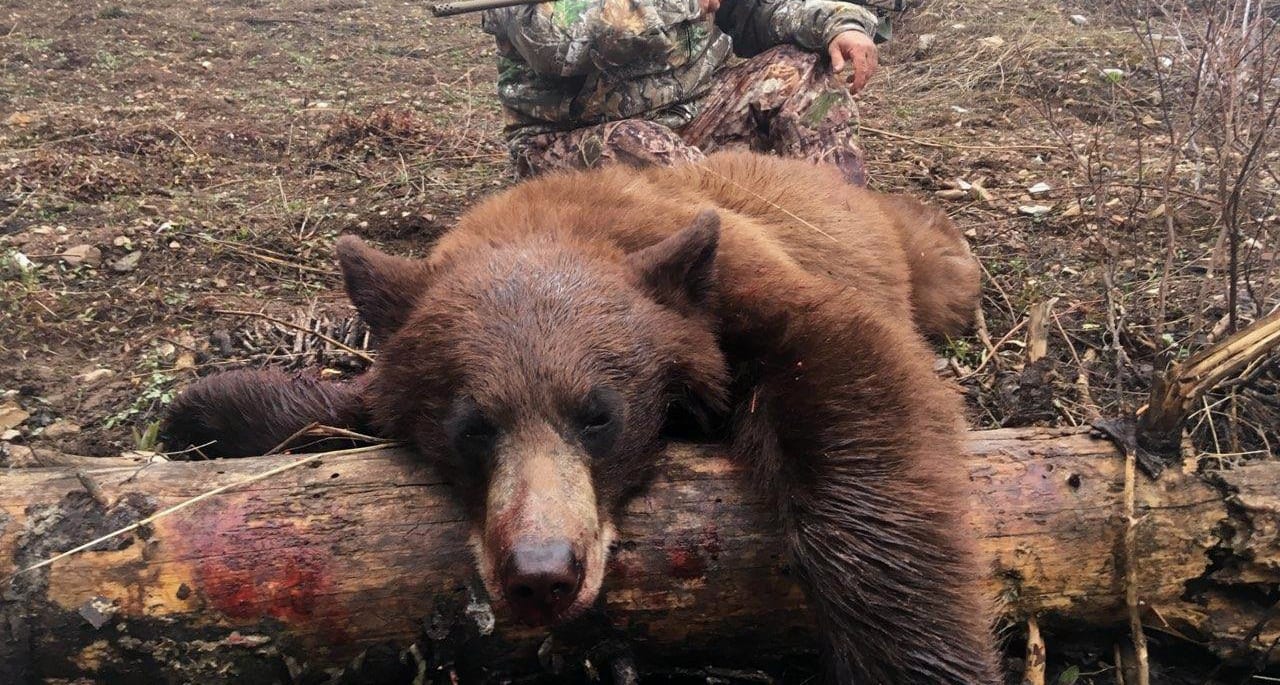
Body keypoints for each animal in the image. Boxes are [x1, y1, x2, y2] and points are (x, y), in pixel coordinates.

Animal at [166, 151, 997, 683]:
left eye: (599, 416)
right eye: (473, 426)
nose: (541, 575)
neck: (565, 224)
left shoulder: (745, 295)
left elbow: (855, 386)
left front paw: (925, 659)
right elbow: (351, 401)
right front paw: (203, 409)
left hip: (926, 261)